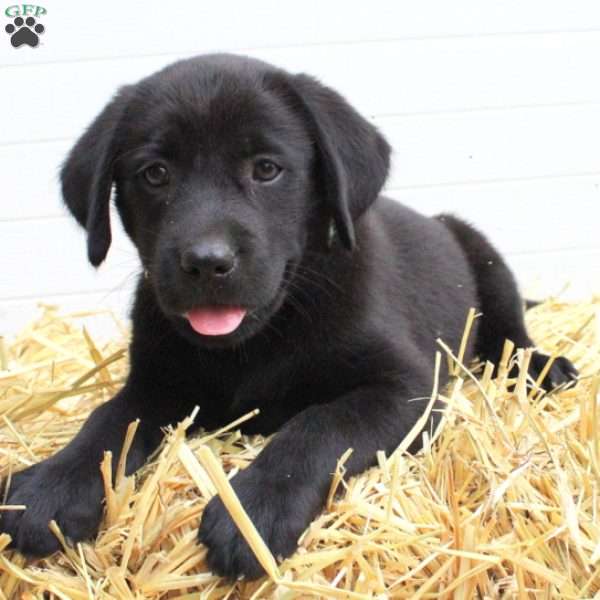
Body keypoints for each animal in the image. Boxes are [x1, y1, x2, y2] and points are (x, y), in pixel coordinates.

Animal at [3, 54, 576, 580]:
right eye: (155, 174)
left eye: (266, 169)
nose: (207, 261)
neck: (260, 338)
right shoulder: (156, 382)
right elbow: (108, 422)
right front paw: (51, 487)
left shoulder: (406, 387)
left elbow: (317, 424)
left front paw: (254, 513)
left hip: (482, 255)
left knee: (511, 334)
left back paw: (546, 368)